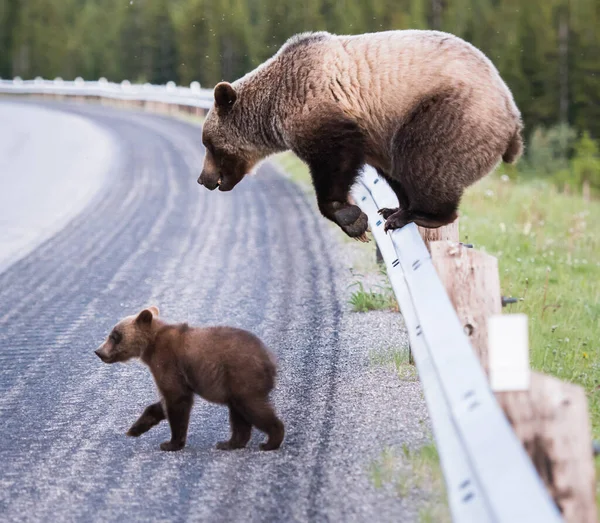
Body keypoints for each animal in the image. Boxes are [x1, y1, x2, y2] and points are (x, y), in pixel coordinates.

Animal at [197, 29, 520, 238]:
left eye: (209, 144)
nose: (204, 179)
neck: (272, 108)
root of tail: (513, 118)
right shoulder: (372, 133)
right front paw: (363, 216)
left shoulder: (321, 110)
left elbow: (334, 161)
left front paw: (351, 218)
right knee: (402, 167)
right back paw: (394, 209)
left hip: (448, 111)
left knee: (423, 158)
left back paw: (418, 215)